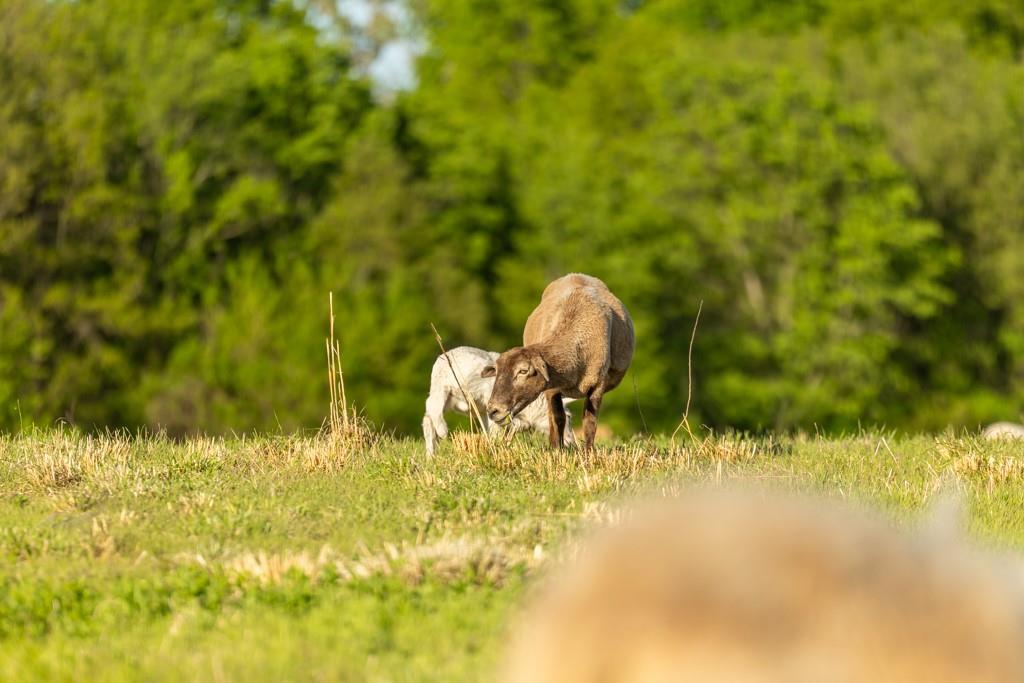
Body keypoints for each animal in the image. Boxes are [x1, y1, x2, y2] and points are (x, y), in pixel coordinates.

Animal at [422, 346, 575, 455]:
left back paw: (431, 454)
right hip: (441, 387)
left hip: (450, 398)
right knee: (432, 407)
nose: (571, 443)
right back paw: (442, 431)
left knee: (427, 418)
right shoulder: (494, 407)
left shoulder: (489, 412)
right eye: (567, 417)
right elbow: (499, 428)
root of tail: (445, 355)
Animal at [483, 273, 634, 451]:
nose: (493, 410)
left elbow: (590, 422)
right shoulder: (551, 386)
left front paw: (589, 454)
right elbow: (558, 418)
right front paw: (557, 450)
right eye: (497, 372)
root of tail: (577, 274)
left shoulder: (598, 385)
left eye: (523, 371)